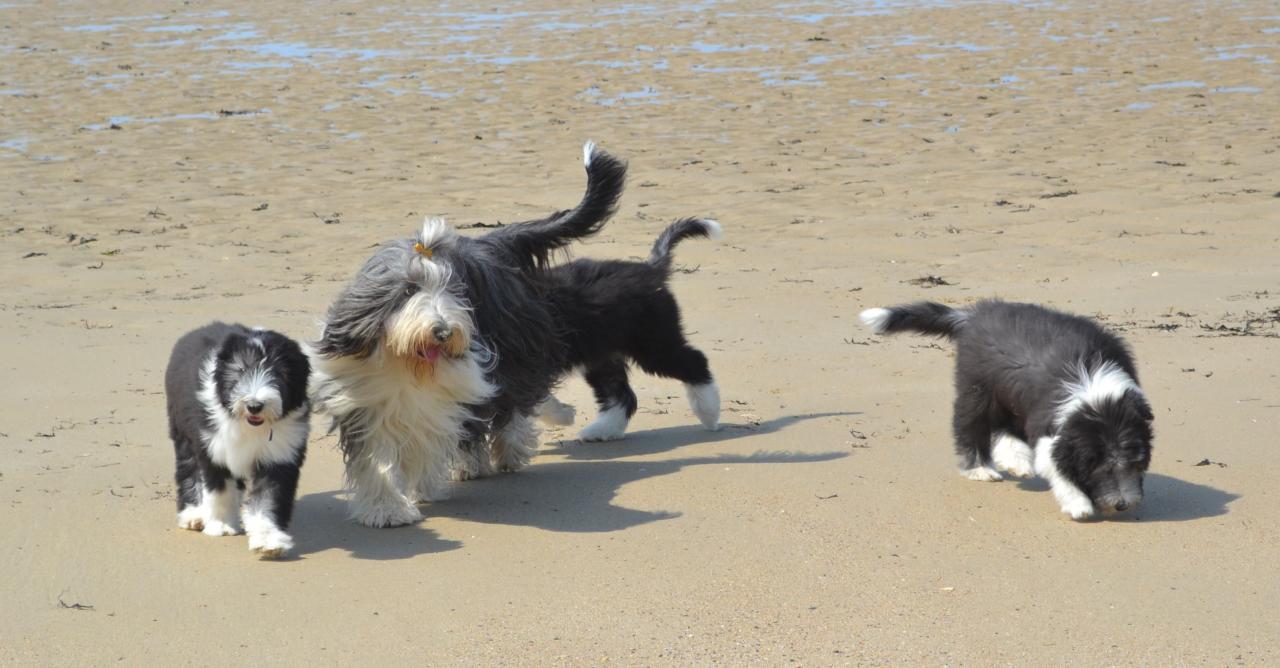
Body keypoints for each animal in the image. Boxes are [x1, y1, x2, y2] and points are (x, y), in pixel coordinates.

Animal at [165, 322, 309, 555]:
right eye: (241, 370)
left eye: (278, 373)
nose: (254, 405)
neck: (250, 427)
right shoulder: (213, 448)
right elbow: (221, 491)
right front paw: (222, 525)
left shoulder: (279, 456)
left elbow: (268, 498)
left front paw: (268, 539)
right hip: (182, 431)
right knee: (189, 469)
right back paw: (194, 514)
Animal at [311, 140, 629, 524]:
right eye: (409, 290)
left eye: (454, 289)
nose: (443, 331)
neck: (407, 365)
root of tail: (490, 242)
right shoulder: (367, 402)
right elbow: (378, 458)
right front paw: (388, 509)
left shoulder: (447, 394)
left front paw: (422, 488)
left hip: (517, 348)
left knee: (515, 404)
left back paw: (508, 450)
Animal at [860, 298, 1152, 519]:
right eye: (1102, 469)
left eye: (1135, 464)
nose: (1122, 504)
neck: (1096, 391)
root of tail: (975, 314)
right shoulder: (1051, 424)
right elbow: (1056, 462)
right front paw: (1077, 503)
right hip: (977, 389)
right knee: (970, 425)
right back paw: (979, 468)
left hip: (1008, 396)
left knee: (1004, 427)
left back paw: (1016, 461)